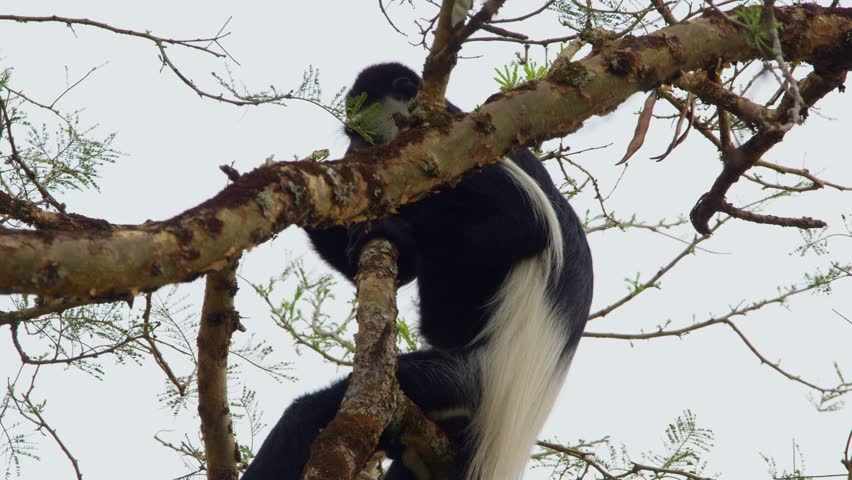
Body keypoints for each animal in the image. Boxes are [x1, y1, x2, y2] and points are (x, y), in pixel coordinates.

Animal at [242, 62, 593, 480]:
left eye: (361, 134)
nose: (353, 152)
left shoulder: (469, 157)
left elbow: (525, 225)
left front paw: (392, 228)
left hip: (459, 379)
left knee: (311, 411)